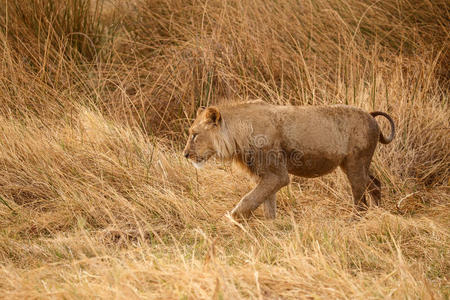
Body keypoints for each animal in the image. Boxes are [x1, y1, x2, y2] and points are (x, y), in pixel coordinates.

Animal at [183, 99, 394, 219]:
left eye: (194, 135)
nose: (185, 154)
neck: (237, 134)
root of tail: (370, 115)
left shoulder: (277, 174)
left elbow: (249, 199)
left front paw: (233, 219)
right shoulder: (265, 175)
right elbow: (267, 203)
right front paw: (271, 226)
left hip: (355, 163)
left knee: (360, 195)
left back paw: (356, 220)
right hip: (356, 164)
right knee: (375, 183)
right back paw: (378, 213)